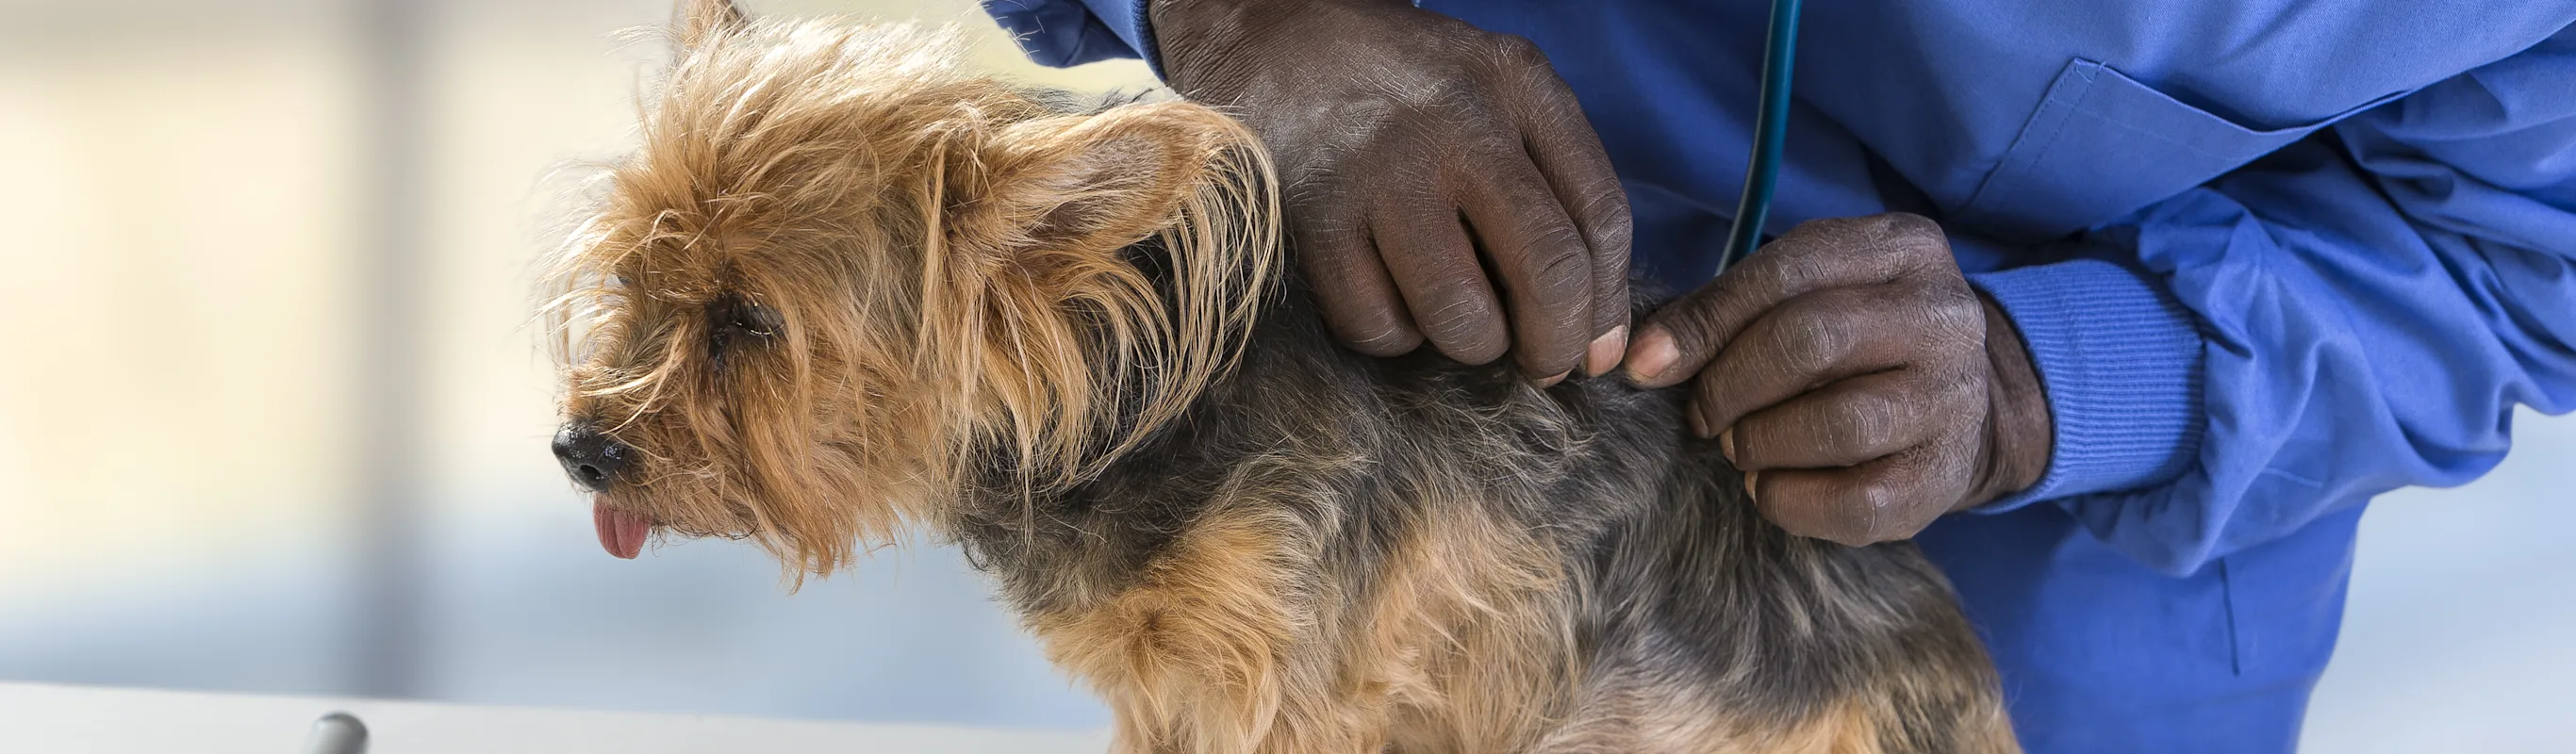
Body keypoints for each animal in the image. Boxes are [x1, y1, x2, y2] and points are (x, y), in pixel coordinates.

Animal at [548, 3, 2008, 746]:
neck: (1137, 411)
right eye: (635, 282)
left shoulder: (1291, 688)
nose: (581, 446)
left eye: (748, 323)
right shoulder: (1172, 696)